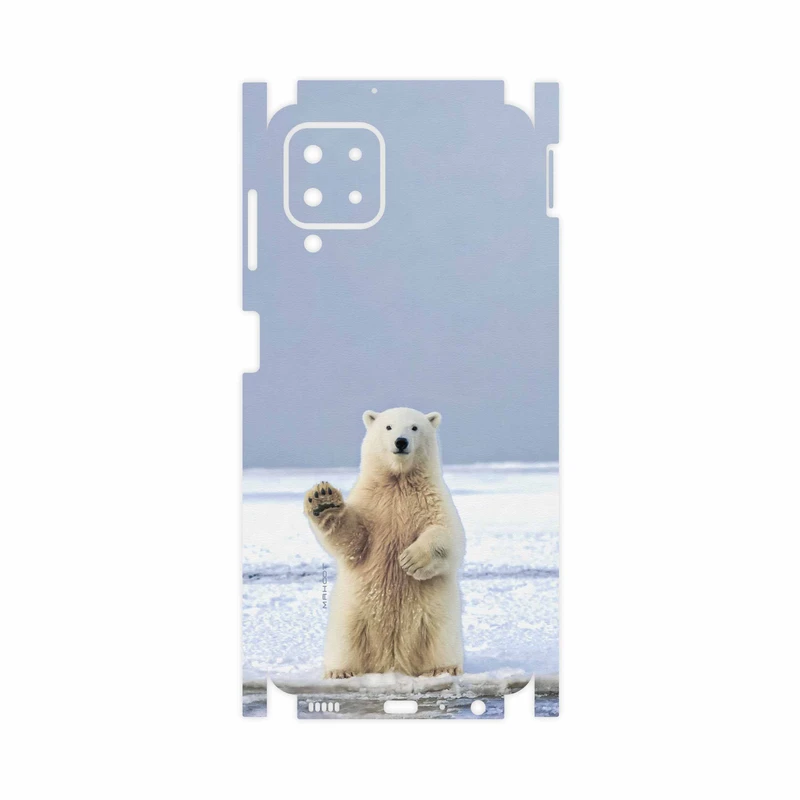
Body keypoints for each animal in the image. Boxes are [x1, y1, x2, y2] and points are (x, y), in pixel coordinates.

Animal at [303, 407, 465, 679]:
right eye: (388, 427)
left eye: (414, 427)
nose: (401, 442)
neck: (398, 481)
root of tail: (392, 662)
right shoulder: (372, 503)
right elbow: (353, 540)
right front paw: (323, 500)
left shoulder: (432, 499)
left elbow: (448, 535)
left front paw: (410, 560)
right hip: (352, 613)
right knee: (345, 639)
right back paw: (340, 671)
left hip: (437, 615)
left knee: (440, 637)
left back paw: (443, 668)